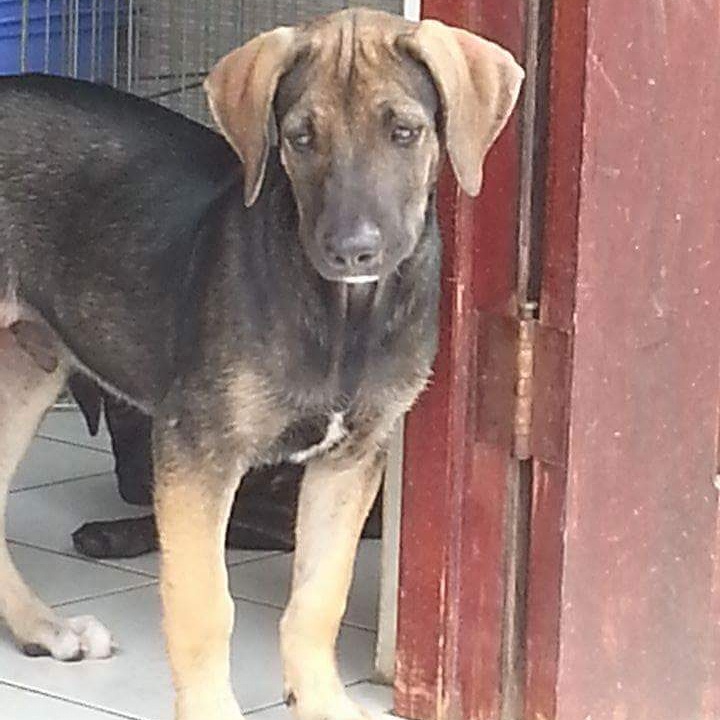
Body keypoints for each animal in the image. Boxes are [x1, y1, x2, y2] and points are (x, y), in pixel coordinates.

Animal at [0, 8, 523, 720]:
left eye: (405, 132)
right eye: (301, 138)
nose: (352, 251)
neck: (343, 316)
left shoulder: (350, 459)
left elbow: (318, 599)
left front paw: (322, 700)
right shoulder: (196, 451)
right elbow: (203, 607)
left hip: (28, 371)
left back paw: (44, 628)